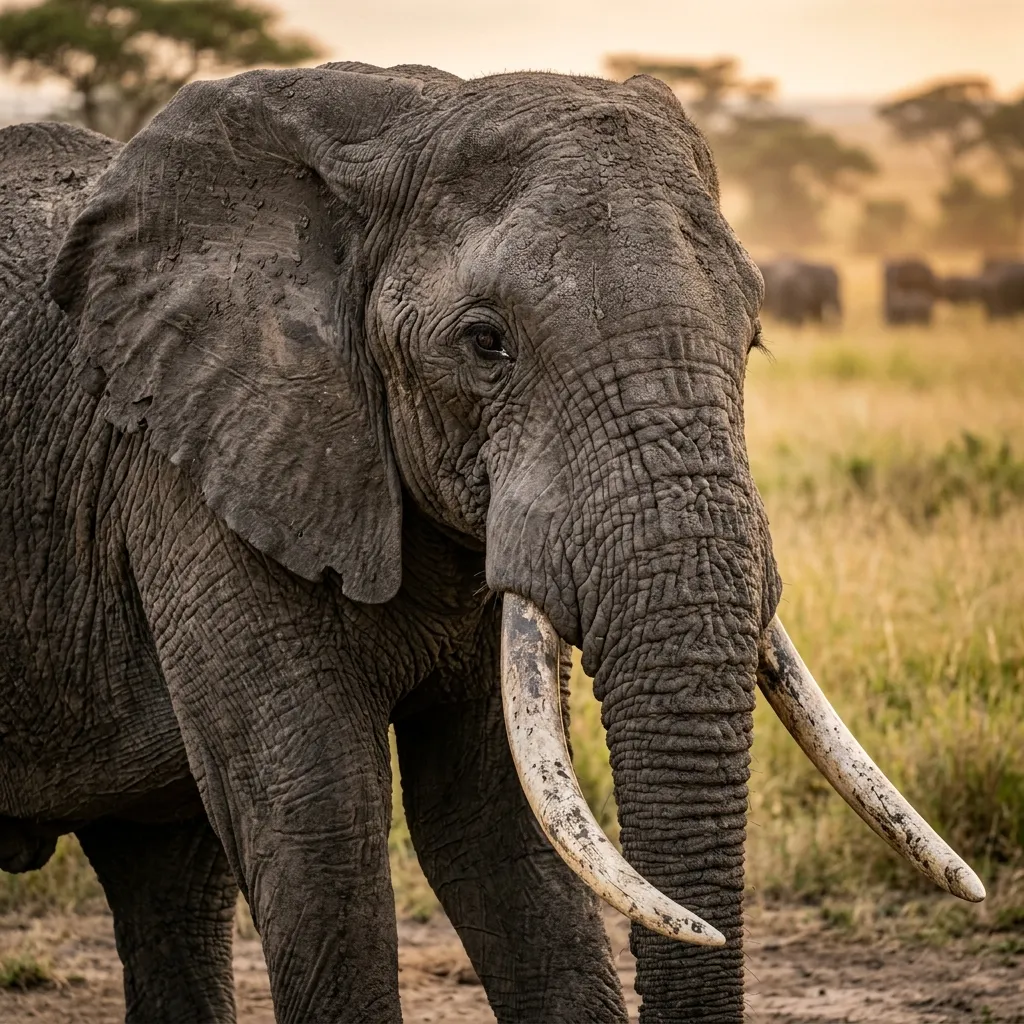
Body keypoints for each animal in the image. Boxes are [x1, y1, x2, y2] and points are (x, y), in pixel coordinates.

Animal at [0, 62, 983, 1023]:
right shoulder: (195, 466)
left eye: (753, 338)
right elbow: (317, 819)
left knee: (167, 873)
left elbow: (498, 831)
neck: (389, 118)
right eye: (485, 344)